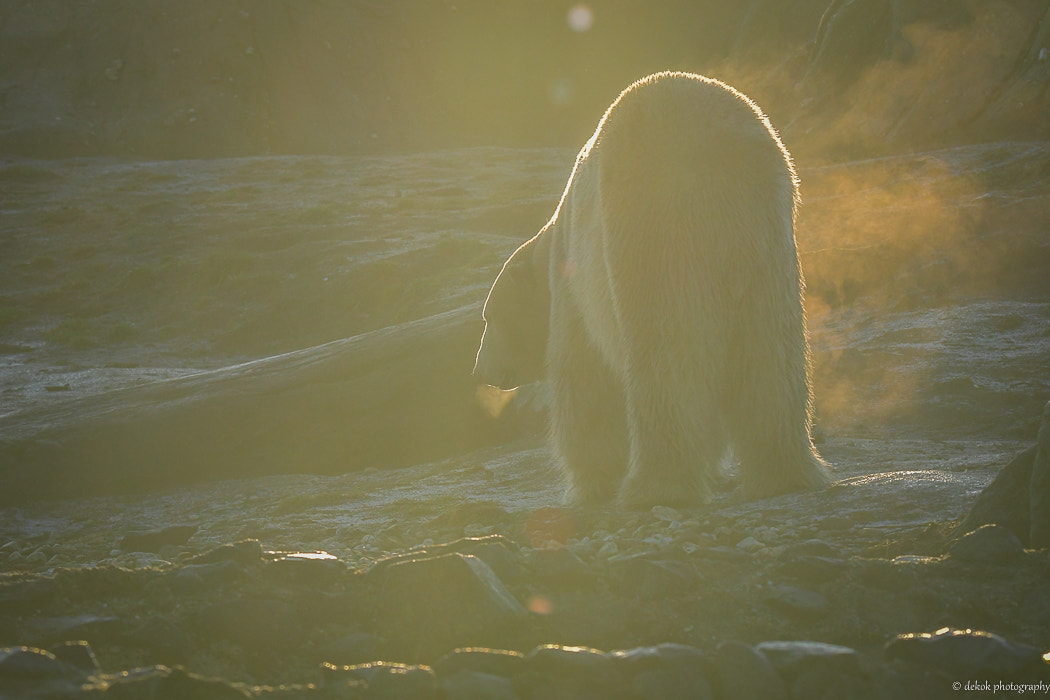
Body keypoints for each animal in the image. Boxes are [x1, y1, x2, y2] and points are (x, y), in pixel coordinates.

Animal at [474, 71, 830, 507]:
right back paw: (786, 474)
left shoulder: (574, 278)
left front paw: (588, 484)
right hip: (769, 247)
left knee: (662, 355)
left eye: (489, 317)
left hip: (650, 230)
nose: (479, 370)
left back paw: (656, 488)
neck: (553, 232)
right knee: (771, 354)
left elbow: (583, 371)